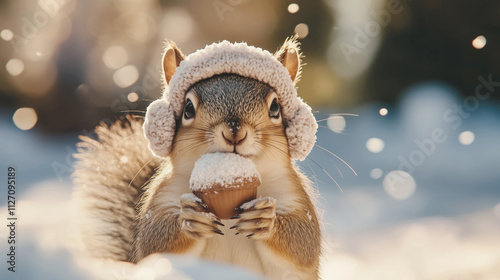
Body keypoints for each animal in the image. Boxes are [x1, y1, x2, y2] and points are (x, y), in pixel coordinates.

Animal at [73, 37, 322, 280]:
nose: (234, 131)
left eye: (275, 107)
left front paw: (265, 218)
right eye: (188, 108)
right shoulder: (164, 197)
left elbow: (304, 244)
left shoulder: (292, 195)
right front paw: (190, 220)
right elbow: (153, 241)